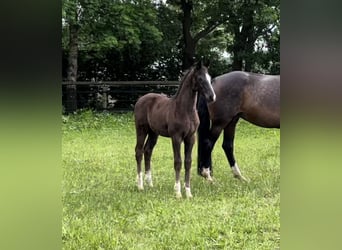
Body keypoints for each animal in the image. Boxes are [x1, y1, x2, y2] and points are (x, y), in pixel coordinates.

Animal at [133, 60, 215, 197]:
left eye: (210, 78)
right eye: (200, 78)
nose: (212, 97)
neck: (185, 110)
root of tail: (141, 99)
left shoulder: (191, 138)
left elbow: (188, 162)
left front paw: (188, 192)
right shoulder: (176, 137)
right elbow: (178, 162)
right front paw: (178, 192)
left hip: (153, 133)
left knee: (148, 151)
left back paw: (150, 183)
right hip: (141, 130)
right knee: (139, 151)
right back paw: (140, 185)